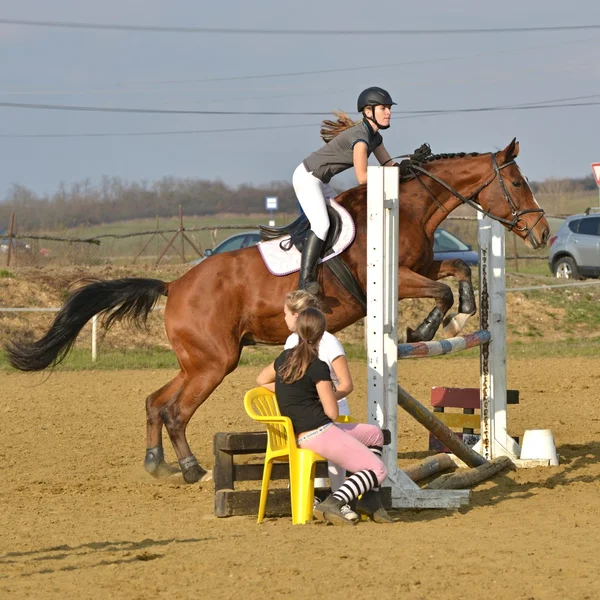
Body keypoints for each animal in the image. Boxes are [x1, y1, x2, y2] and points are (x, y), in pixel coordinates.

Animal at [5, 139, 548, 482]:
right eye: (519, 183)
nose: (542, 233)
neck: (409, 205)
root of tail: (175, 285)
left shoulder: (423, 265)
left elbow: (455, 274)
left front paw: (461, 314)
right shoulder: (394, 279)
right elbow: (440, 291)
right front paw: (425, 328)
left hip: (200, 361)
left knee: (156, 401)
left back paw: (157, 463)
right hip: (213, 362)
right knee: (176, 410)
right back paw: (192, 469)